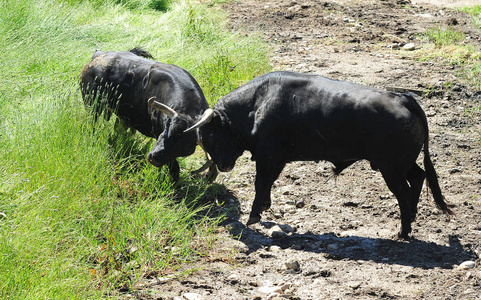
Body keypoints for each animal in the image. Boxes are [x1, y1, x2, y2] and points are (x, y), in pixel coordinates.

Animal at [80, 49, 216, 180]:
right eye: (165, 132)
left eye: (184, 147)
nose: (153, 157)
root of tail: (98, 55)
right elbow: (174, 167)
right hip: (92, 105)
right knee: (91, 124)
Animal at [186, 71, 452, 238]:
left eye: (209, 135)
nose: (222, 166)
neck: (256, 104)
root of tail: (403, 98)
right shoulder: (277, 159)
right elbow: (268, 183)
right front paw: (264, 206)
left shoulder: (267, 156)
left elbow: (260, 183)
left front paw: (253, 215)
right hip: (402, 164)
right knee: (418, 177)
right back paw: (413, 217)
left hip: (391, 169)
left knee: (404, 192)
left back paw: (403, 231)